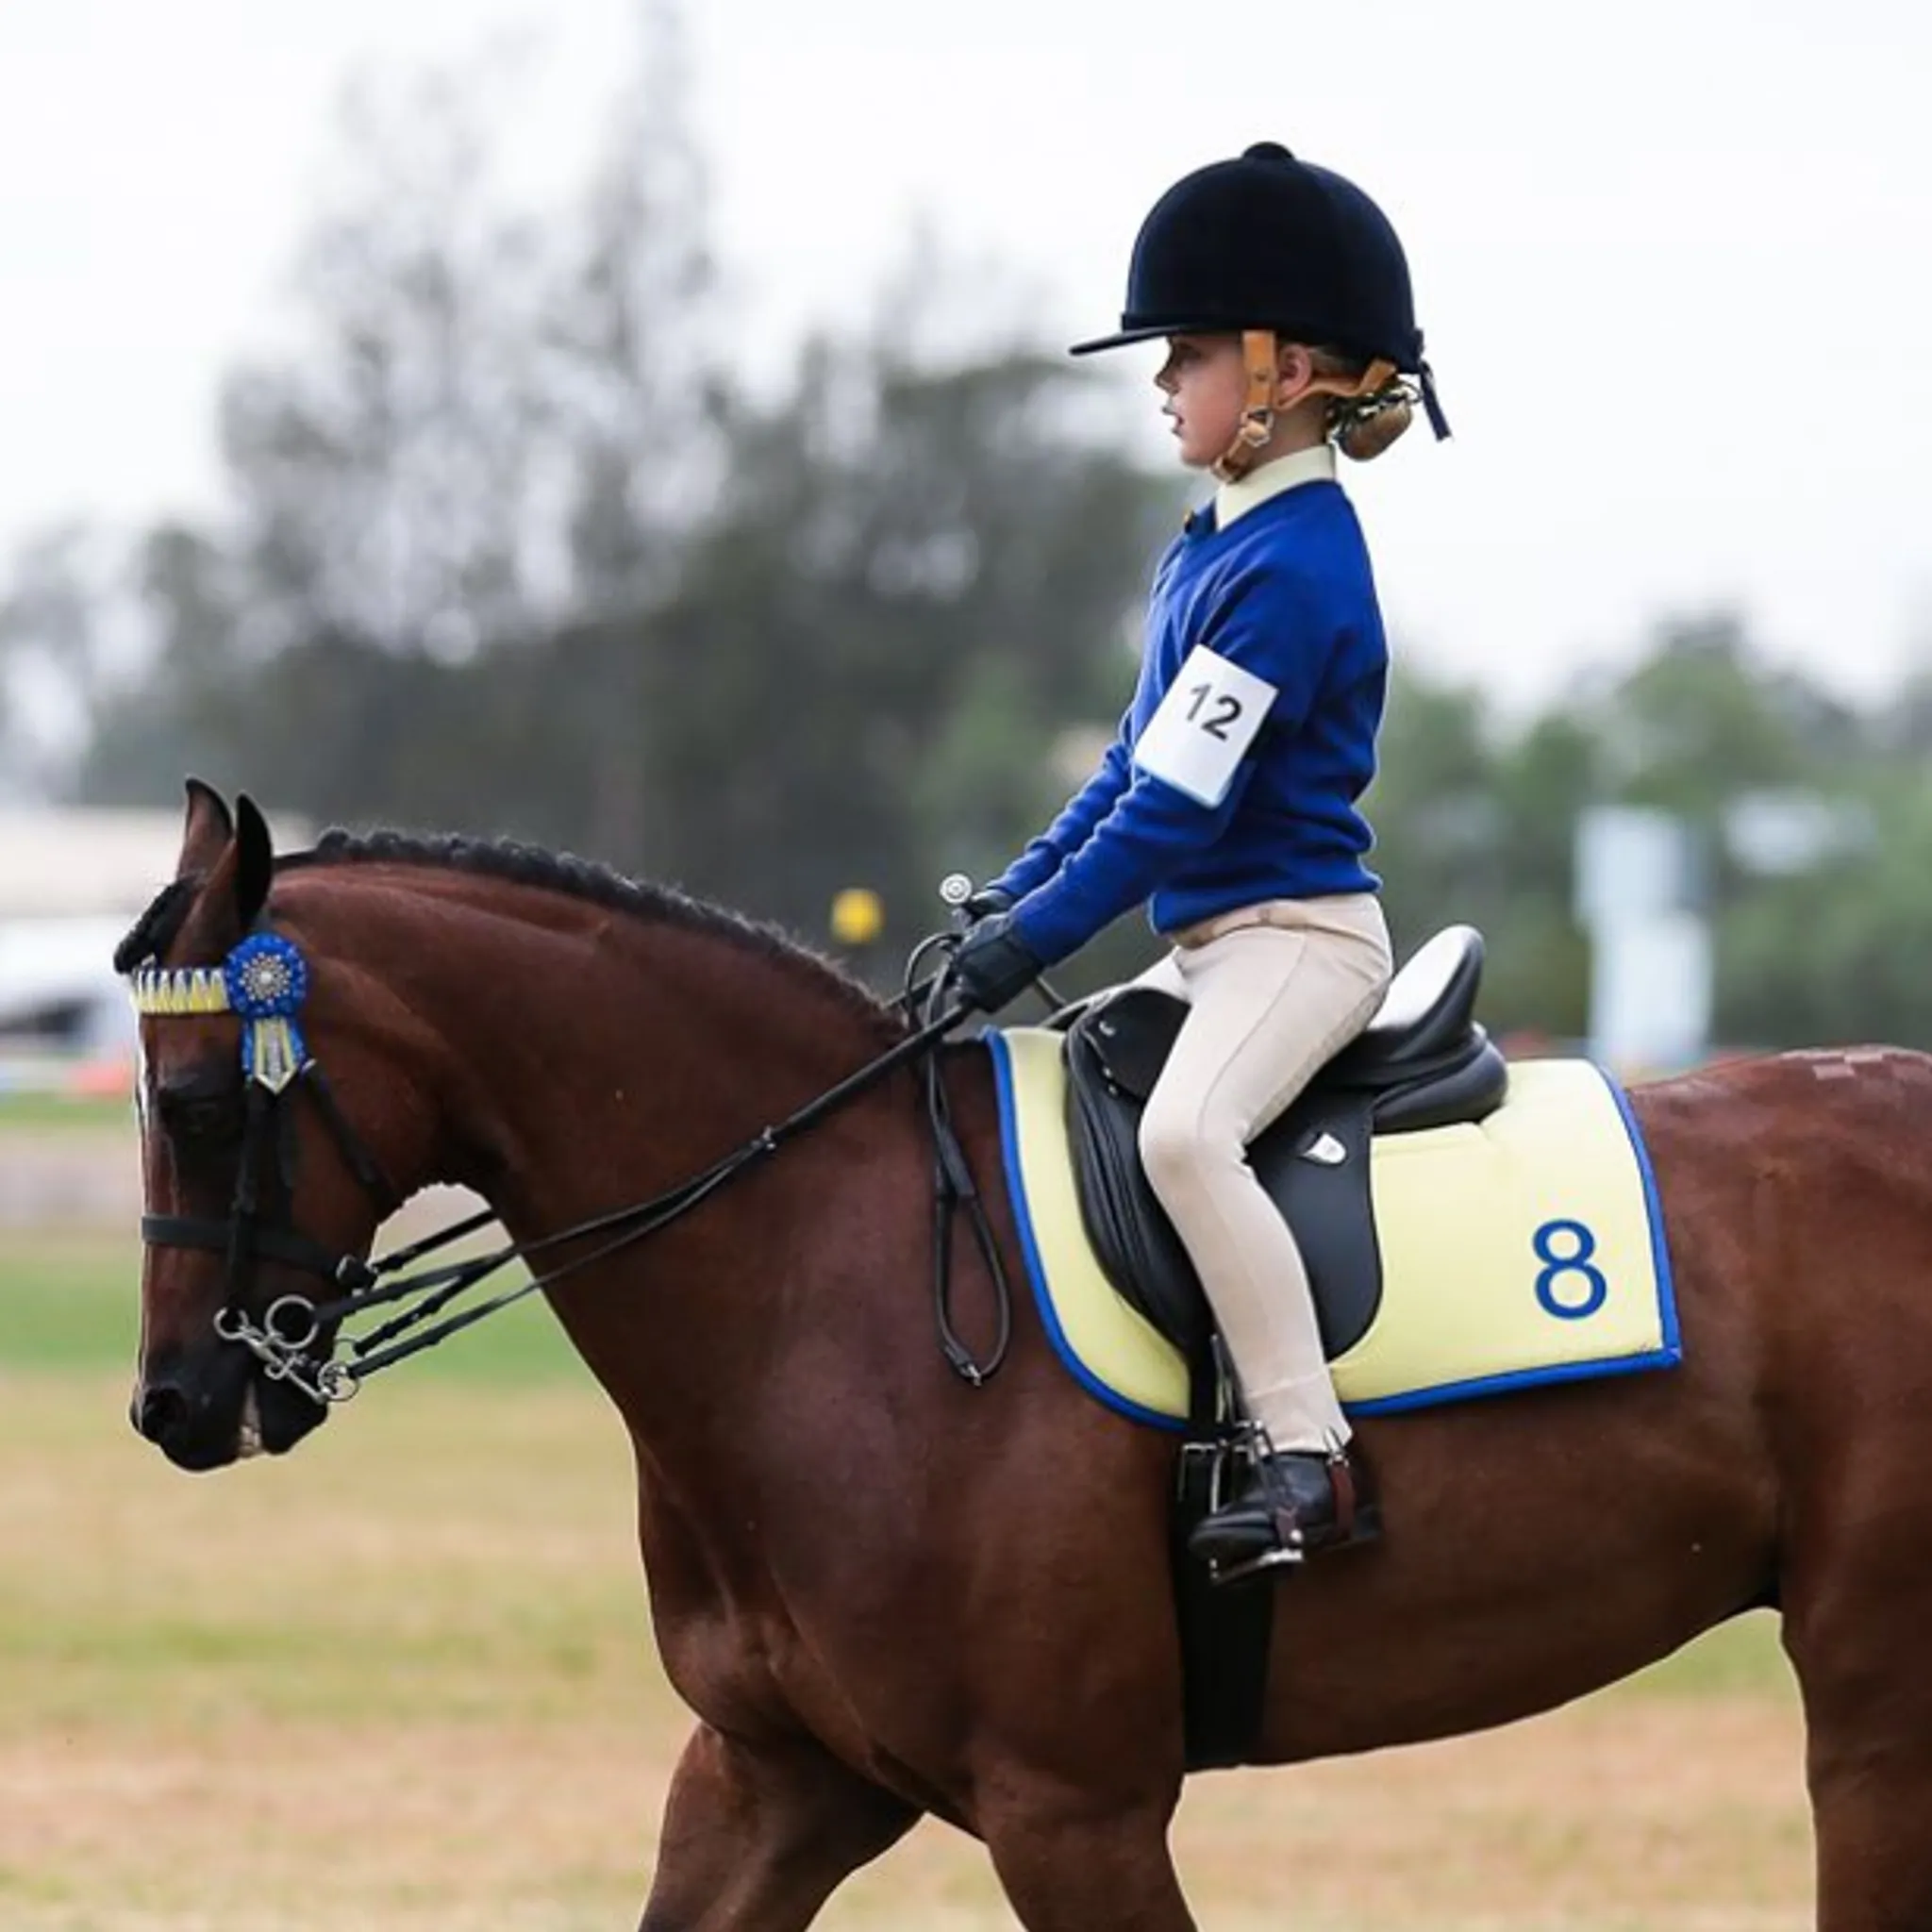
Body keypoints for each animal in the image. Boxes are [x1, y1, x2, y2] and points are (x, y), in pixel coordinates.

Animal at [121, 779, 1932, 1931]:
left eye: (202, 1104)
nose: (177, 1404)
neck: (819, 1267)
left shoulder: (1074, 1809)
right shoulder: (773, 1780)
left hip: (1868, 1700)